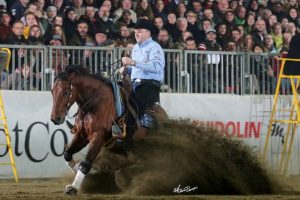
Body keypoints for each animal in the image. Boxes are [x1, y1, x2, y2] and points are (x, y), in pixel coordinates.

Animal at [49, 65, 166, 195]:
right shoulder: (81, 135)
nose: (55, 118)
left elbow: (85, 163)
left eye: (65, 92)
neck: (94, 104)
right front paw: (90, 176)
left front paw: (74, 187)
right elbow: (67, 155)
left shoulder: (98, 137)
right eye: (52, 91)